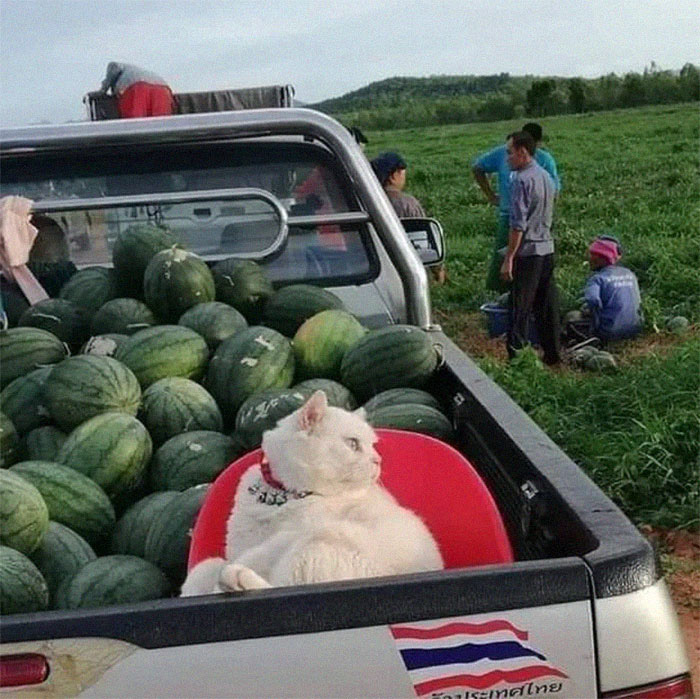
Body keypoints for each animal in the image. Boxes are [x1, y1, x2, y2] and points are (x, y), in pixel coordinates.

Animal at [180, 392, 442, 592]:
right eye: (353, 443)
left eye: (372, 445)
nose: (377, 460)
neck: (281, 497)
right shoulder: (238, 548)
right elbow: (205, 570)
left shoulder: (284, 539)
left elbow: (248, 558)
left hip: (323, 538)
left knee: (280, 586)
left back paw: (236, 579)